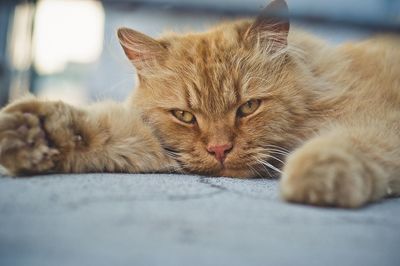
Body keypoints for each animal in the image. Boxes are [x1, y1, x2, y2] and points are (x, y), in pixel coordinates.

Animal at [0, 0, 400, 208]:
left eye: (248, 107)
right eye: (184, 116)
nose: (220, 150)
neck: (322, 77)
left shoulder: (377, 119)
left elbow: (350, 143)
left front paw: (315, 177)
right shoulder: (160, 145)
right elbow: (105, 131)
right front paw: (35, 137)